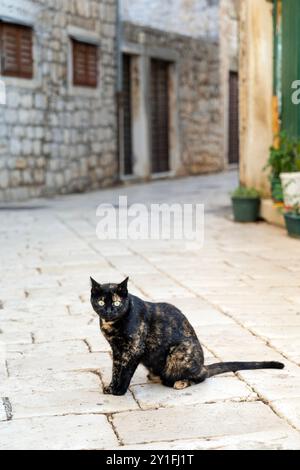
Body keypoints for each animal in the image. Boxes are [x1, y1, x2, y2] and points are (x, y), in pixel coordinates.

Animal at [90, 278, 284, 394]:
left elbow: (126, 372)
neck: (111, 326)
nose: (109, 310)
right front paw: (111, 387)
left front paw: (119, 391)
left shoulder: (134, 349)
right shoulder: (117, 350)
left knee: (201, 376)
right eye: (101, 301)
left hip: (178, 352)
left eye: (116, 303)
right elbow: (116, 369)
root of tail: (202, 365)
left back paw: (181, 382)